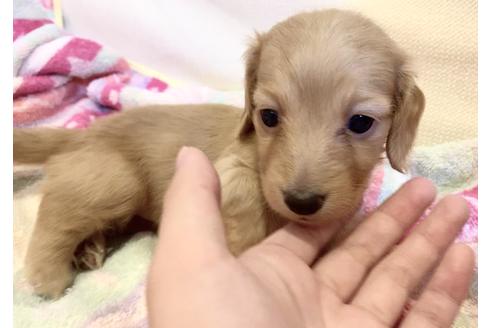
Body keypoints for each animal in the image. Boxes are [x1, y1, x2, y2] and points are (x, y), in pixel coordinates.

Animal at [13, 9, 424, 298]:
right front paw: (244, 248)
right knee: (55, 216)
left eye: (360, 123)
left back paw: (91, 248)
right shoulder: (232, 168)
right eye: (268, 116)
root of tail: (85, 133)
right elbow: (246, 201)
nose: (301, 201)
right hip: (116, 181)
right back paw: (48, 275)